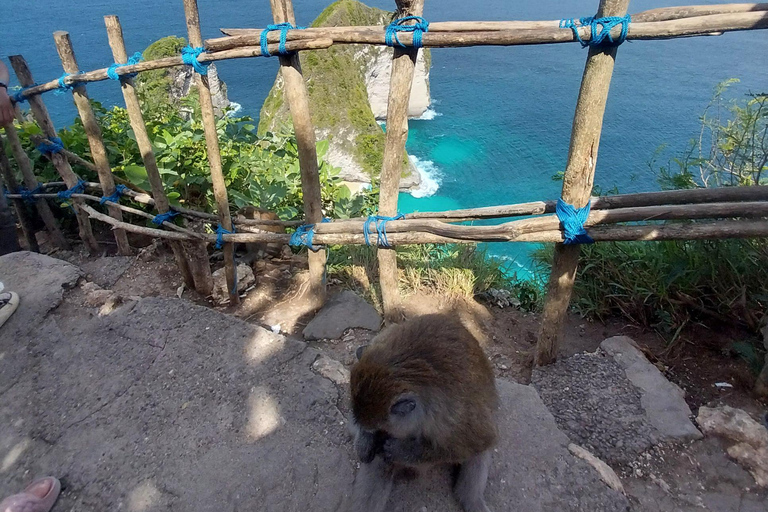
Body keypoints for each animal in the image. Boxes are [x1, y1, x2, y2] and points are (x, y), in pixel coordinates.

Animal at [348, 312, 498, 512]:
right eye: (373, 430)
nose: (374, 437)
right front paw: (365, 442)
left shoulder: (454, 418)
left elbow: (475, 442)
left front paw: (403, 450)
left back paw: (472, 500)